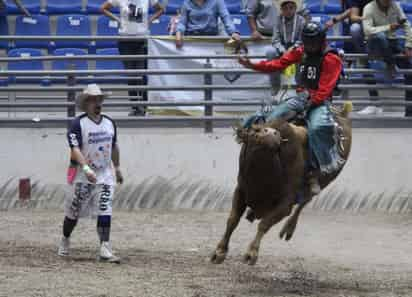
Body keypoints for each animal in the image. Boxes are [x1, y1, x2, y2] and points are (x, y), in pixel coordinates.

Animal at [212, 103, 350, 264]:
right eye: (256, 130)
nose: (272, 133)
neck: (261, 175)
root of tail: (342, 113)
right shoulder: (241, 190)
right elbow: (232, 220)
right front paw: (219, 252)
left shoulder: (286, 204)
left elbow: (264, 223)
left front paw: (251, 253)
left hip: (324, 182)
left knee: (305, 201)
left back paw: (289, 228)